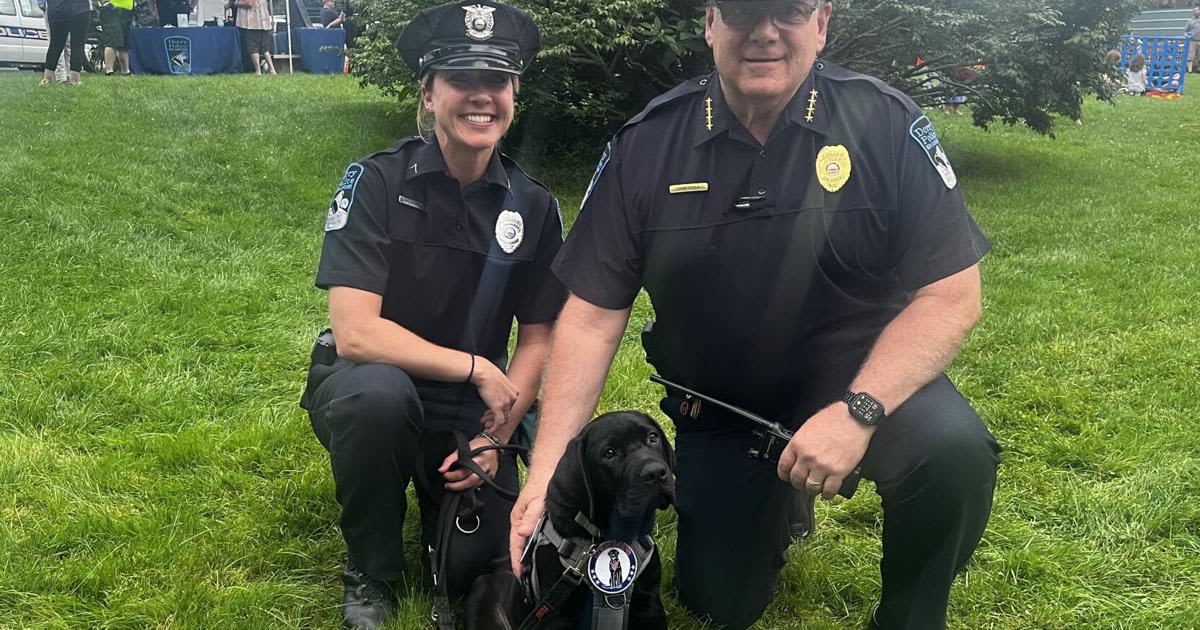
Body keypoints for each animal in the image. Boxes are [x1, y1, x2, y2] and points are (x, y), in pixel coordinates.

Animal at [465, 410, 676, 624]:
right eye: (609, 453)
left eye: (653, 437)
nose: (656, 472)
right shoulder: (557, 613)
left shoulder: (649, 604)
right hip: (485, 590)